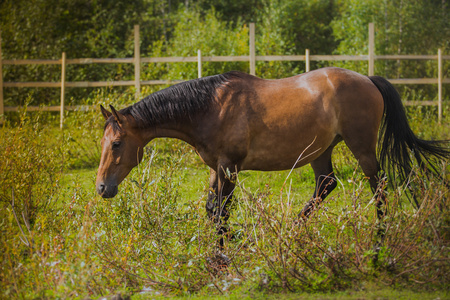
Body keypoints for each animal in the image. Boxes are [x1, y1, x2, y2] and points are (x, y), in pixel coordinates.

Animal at [94, 68, 446, 239]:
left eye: (116, 144)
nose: (101, 187)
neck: (210, 107)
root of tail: (368, 80)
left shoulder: (229, 167)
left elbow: (221, 213)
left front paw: (223, 253)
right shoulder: (216, 168)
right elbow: (211, 211)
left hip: (362, 149)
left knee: (379, 187)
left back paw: (379, 242)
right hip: (320, 151)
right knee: (326, 184)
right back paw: (291, 231)